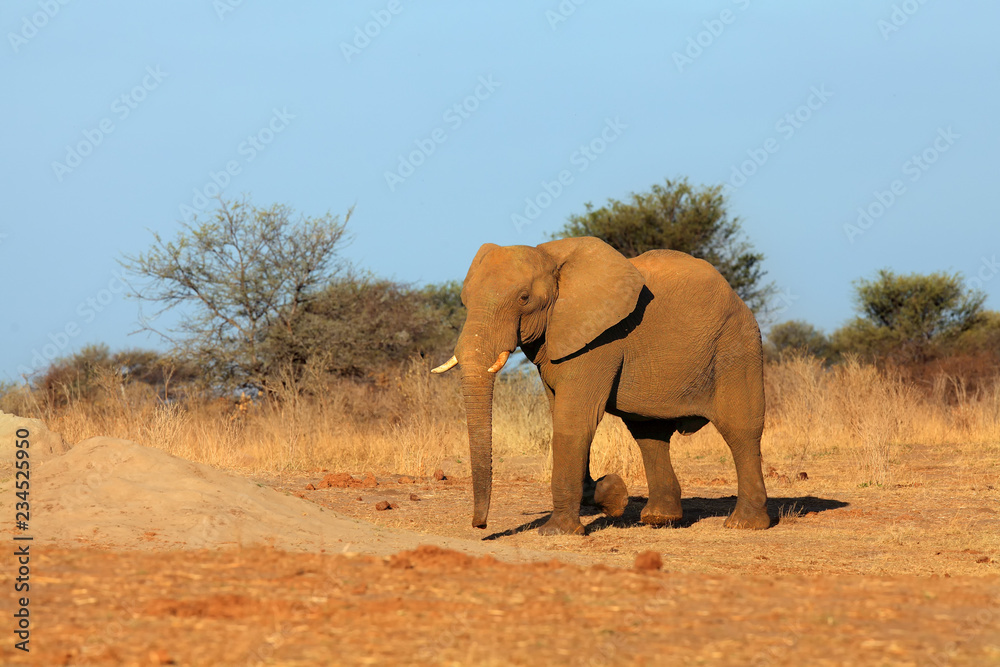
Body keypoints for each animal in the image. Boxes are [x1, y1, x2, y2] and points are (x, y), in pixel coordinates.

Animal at [431, 236, 770, 535]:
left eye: (524, 298)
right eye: (464, 301)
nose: (480, 525)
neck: (551, 257)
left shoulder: (600, 339)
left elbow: (574, 421)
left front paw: (557, 531)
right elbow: (562, 418)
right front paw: (611, 495)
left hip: (735, 346)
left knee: (740, 430)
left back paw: (743, 524)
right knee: (649, 434)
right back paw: (659, 519)